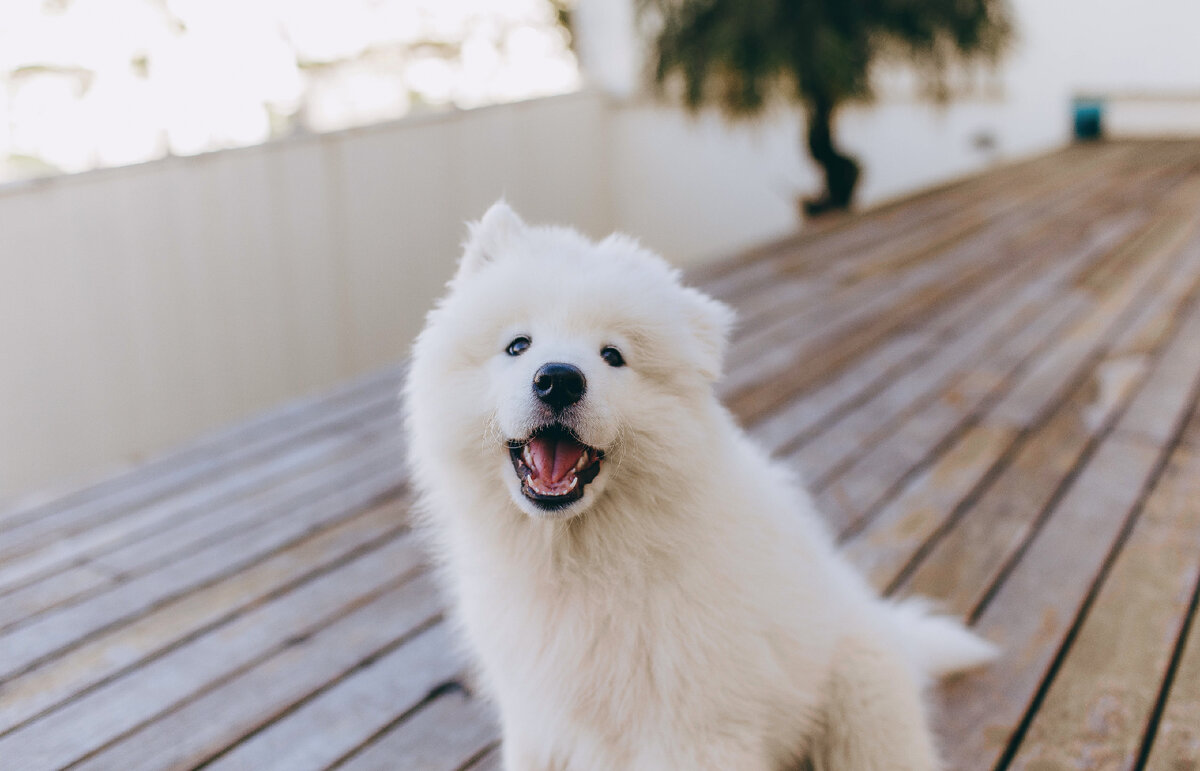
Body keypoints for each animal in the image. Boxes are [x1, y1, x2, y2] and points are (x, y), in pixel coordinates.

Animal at [403, 202, 993, 768]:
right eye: (518, 345)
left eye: (612, 356)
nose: (559, 379)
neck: (582, 560)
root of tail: (887, 627)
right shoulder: (539, 723)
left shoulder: (696, 731)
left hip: (859, 706)